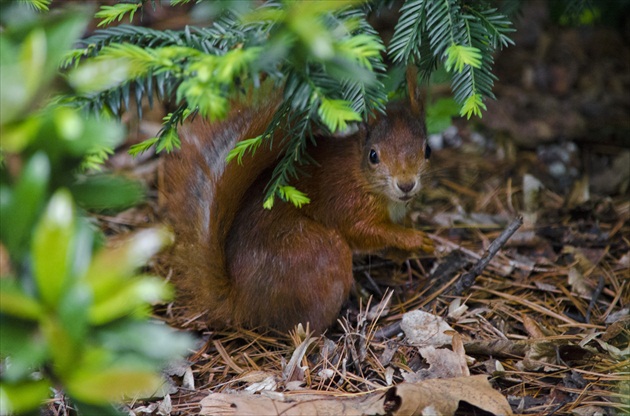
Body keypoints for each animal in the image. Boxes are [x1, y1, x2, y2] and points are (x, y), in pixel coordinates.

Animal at [164, 89, 434, 334]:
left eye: (428, 150)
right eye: (373, 156)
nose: (406, 185)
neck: (363, 178)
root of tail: (241, 301)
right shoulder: (347, 203)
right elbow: (364, 231)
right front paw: (412, 239)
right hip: (318, 252)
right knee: (305, 325)